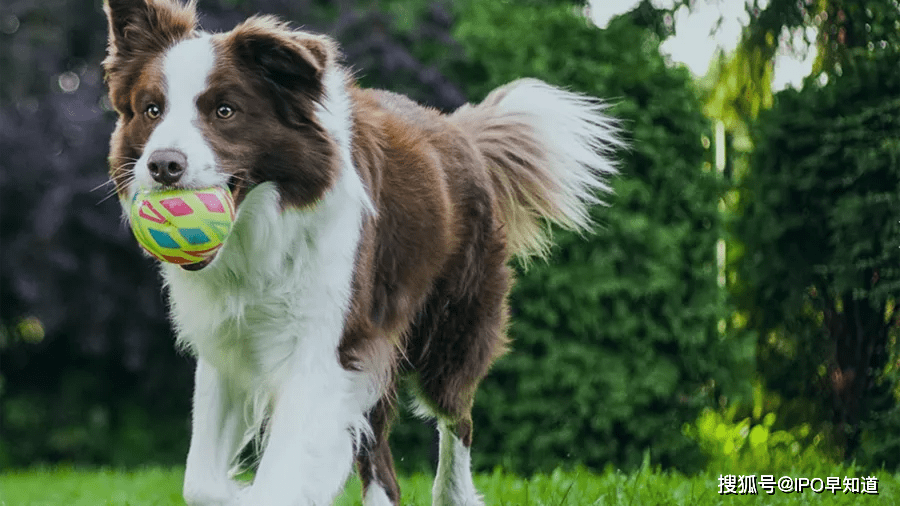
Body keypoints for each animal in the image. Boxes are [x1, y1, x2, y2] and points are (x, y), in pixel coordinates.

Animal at [103, 0, 620, 506]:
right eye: (151, 110)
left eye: (225, 111)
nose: (163, 165)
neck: (261, 232)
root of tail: (459, 130)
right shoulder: (228, 344)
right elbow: (201, 483)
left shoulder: (326, 347)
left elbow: (282, 475)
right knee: (381, 458)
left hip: (450, 330)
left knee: (457, 418)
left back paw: (454, 493)